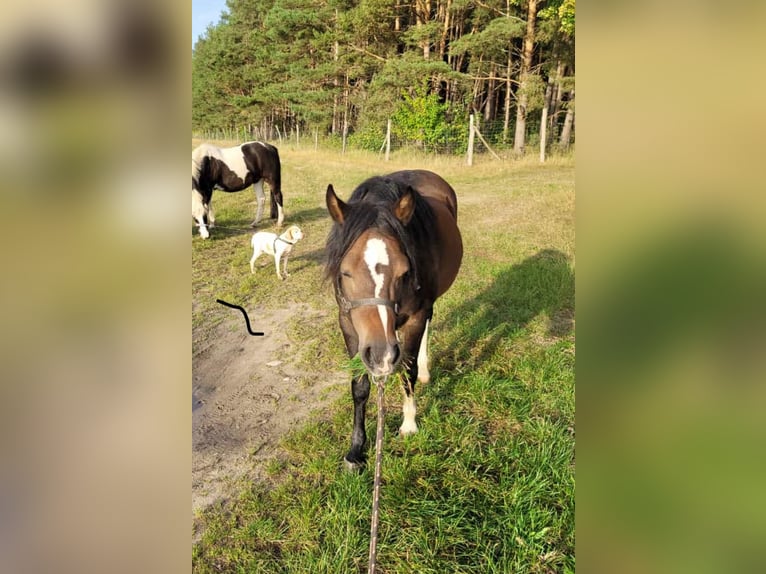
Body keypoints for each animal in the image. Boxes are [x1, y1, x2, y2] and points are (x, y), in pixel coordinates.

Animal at [324, 169, 462, 470]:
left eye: (404, 272)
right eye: (346, 272)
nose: (381, 355)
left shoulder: (415, 318)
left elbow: (407, 372)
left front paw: (409, 424)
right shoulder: (348, 323)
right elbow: (359, 385)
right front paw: (356, 449)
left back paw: (424, 369)